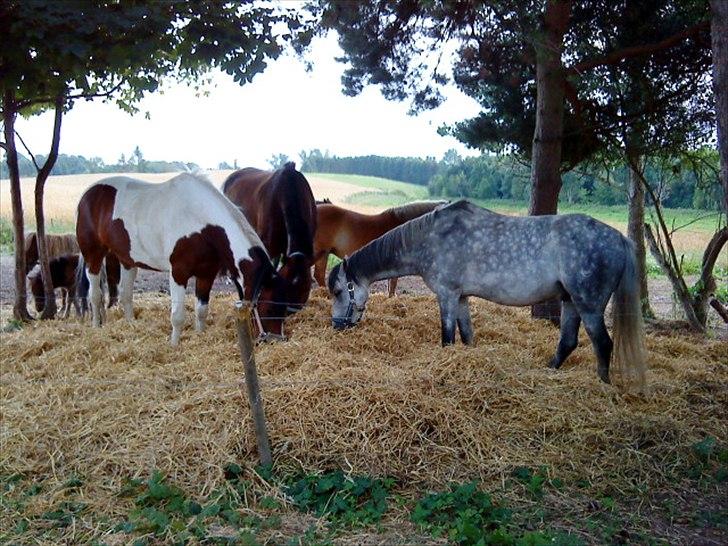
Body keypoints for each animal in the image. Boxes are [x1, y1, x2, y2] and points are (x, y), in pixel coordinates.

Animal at [76, 172, 288, 344]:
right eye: (268, 309)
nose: (273, 340)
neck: (200, 221)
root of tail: (89, 193)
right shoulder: (178, 273)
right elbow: (177, 315)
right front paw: (174, 344)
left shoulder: (206, 274)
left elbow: (201, 310)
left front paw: (200, 336)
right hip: (93, 256)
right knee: (95, 295)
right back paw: (96, 326)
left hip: (128, 261)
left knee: (126, 296)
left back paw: (130, 325)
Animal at [328, 200, 644, 392]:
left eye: (339, 291)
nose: (337, 326)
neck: (430, 239)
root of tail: (619, 239)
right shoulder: (462, 298)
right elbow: (467, 336)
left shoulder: (447, 296)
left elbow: (447, 338)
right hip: (570, 301)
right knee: (567, 342)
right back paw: (547, 372)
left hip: (588, 305)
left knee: (603, 344)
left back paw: (602, 385)